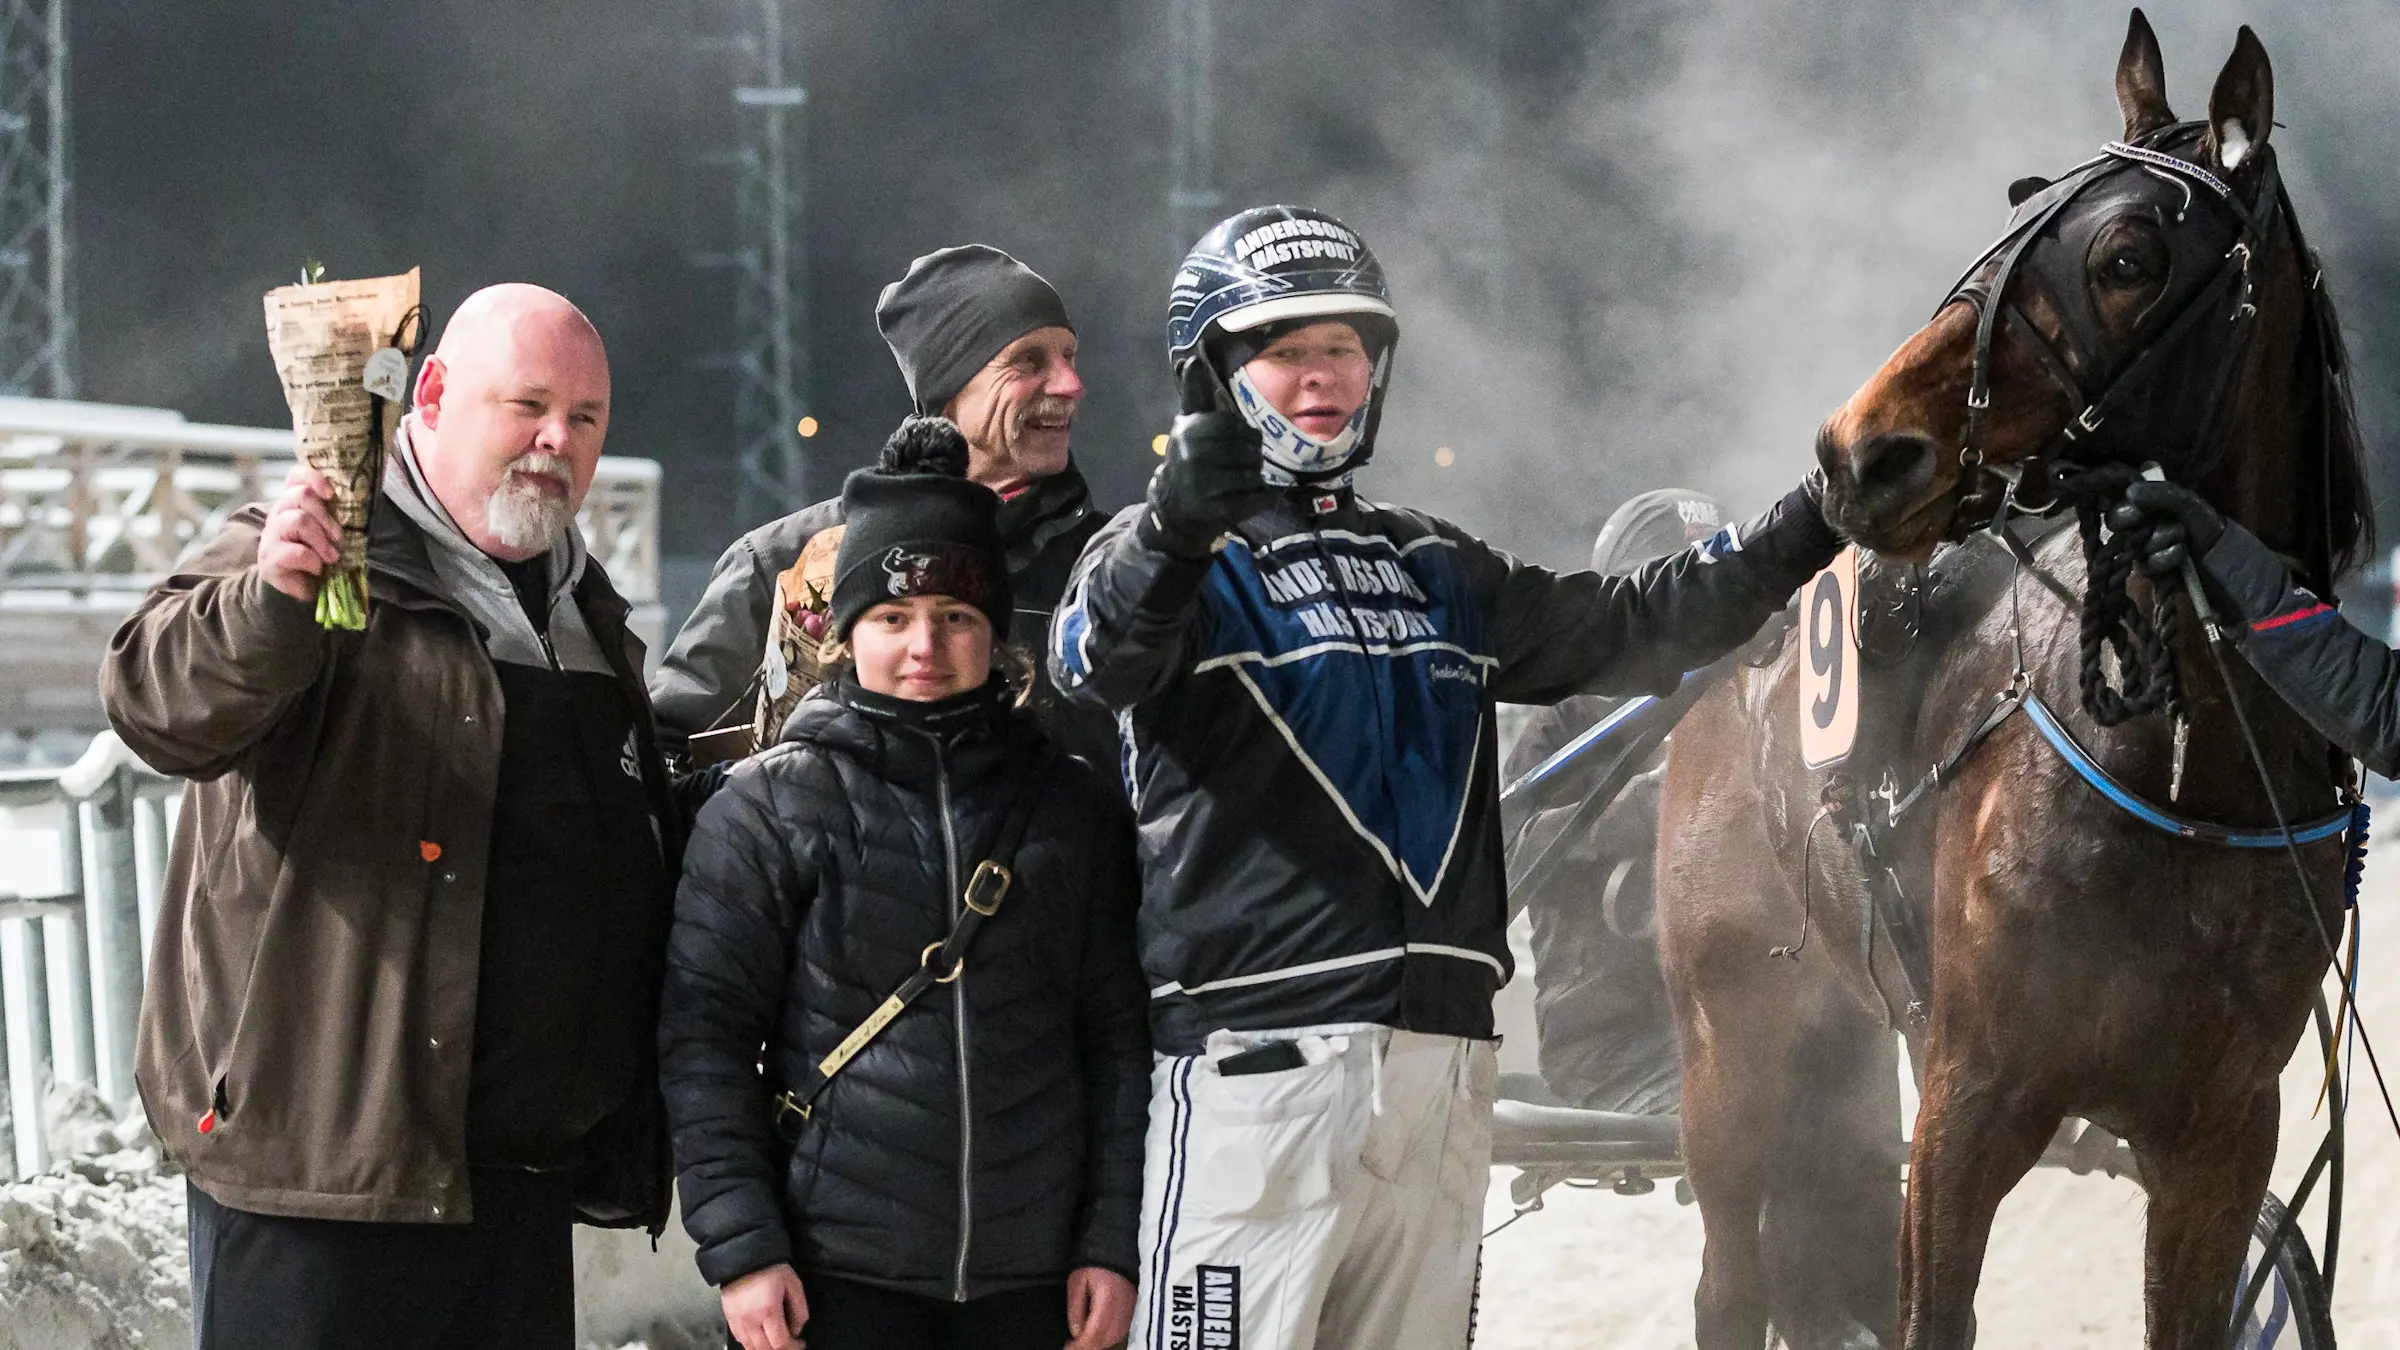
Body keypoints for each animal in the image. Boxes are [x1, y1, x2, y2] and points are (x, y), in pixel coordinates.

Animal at [1660, 13, 2371, 1345]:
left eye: (2130, 255)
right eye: (2023, 204)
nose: (1860, 450)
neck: (2190, 785)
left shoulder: (2219, 1137)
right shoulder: (1970, 1108)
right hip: (1732, 1057)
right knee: (1731, 1283)